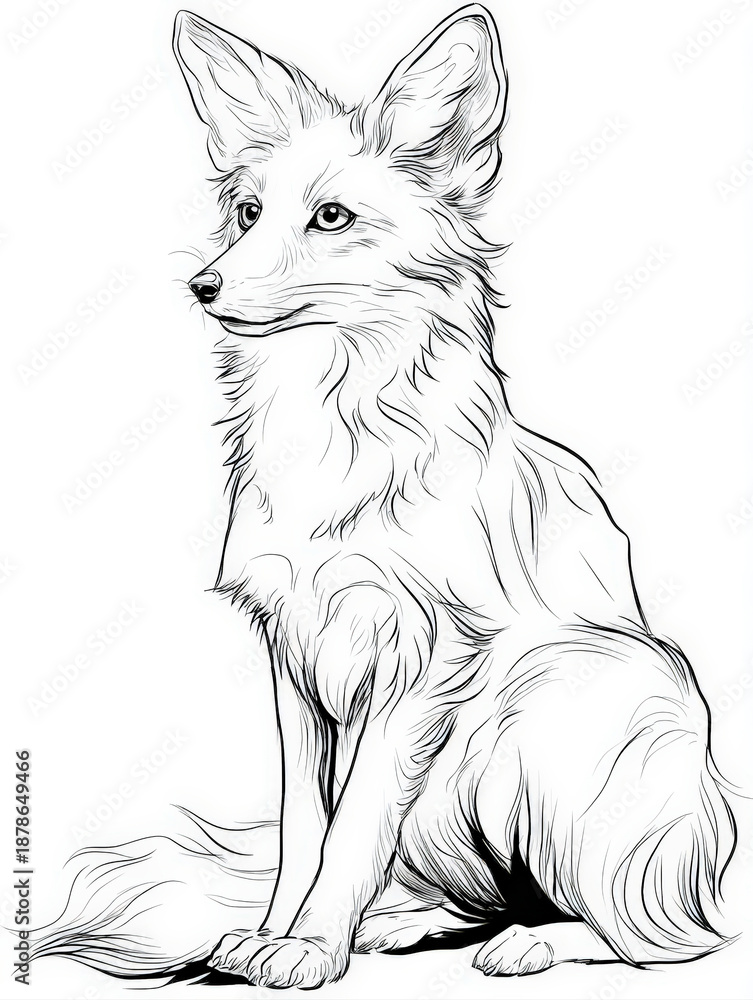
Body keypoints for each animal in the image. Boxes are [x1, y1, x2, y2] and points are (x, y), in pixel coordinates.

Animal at [30, 4, 736, 992]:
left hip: (558, 694)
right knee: (491, 894)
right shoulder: (290, 654)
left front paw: (308, 949)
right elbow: (307, 827)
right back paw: (406, 923)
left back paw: (538, 942)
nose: (202, 285)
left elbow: (355, 823)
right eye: (248, 213)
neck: (329, 427)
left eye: (331, 217)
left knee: (662, 937)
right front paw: (275, 935)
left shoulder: (426, 656)